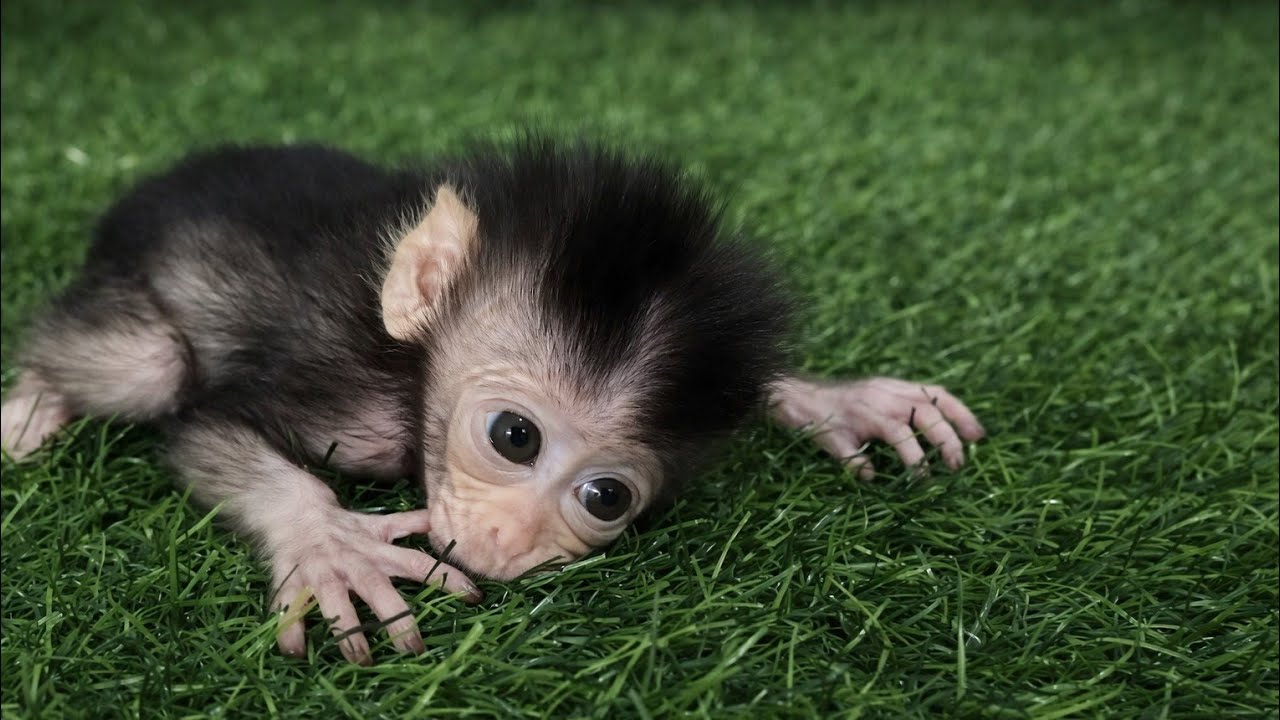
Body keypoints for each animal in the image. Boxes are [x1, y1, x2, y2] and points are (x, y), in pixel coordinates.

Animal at [0, 139, 985, 665]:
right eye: (514, 436)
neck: (412, 370)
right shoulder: (346, 406)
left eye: (605, 497)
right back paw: (34, 402)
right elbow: (199, 423)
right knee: (149, 362)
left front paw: (836, 400)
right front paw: (328, 541)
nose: (508, 541)